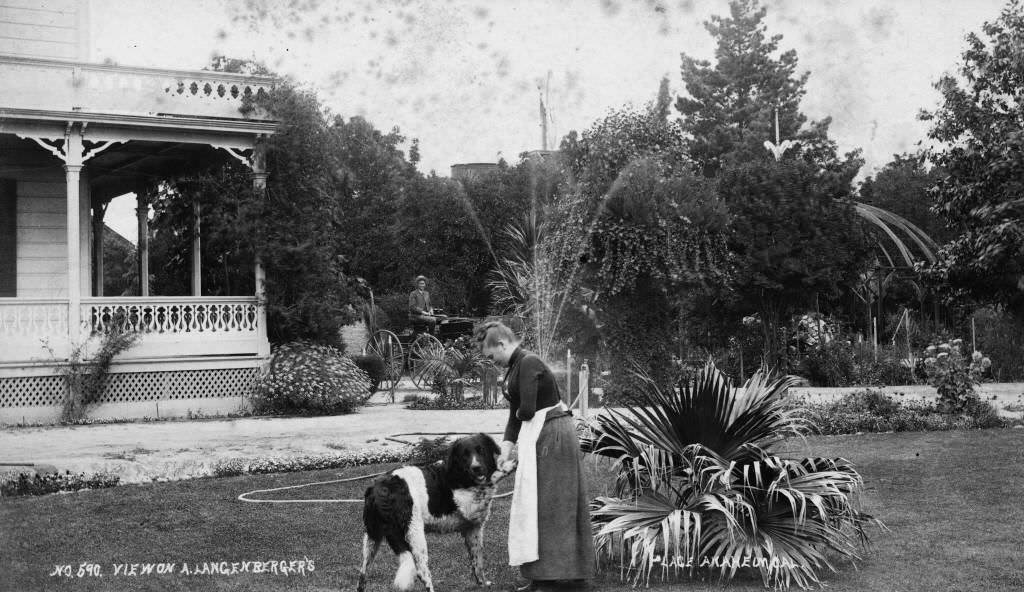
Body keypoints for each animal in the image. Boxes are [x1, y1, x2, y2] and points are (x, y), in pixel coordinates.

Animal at [358, 428, 516, 589]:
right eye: (464, 455)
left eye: (481, 450)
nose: (476, 468)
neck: (459, 473)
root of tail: (378, 489)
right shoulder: (468, 506)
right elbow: (493, 477)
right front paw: (510, 465)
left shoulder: (472, 529)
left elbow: (477, 563)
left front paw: (483, 584)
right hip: (415, 534)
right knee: (422, 573)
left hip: (371, 538)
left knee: (363, 574)